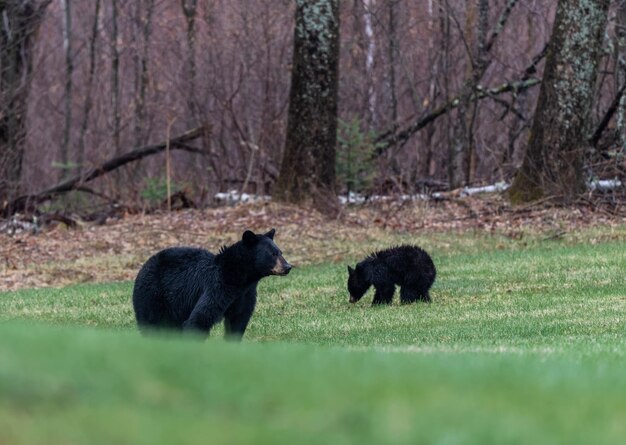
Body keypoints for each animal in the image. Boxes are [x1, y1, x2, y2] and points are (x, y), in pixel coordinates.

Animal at [132, 227, 290, 338]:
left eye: (280, 252)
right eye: (272, 254)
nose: (288, 267)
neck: (239, 278)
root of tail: (144, 265)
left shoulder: (244, 296)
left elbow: (238, 321)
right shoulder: (217, 288)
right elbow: (199, 319)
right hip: (152, 295)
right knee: (151, 323)